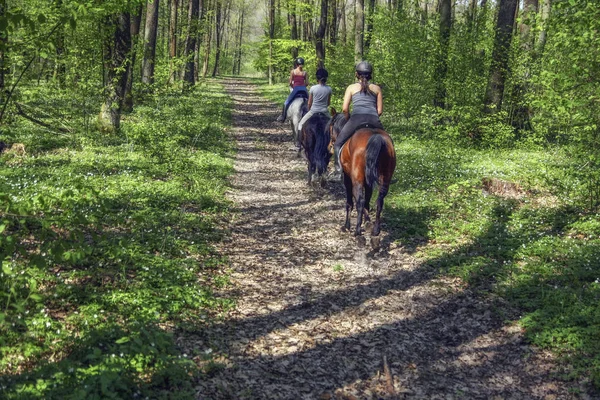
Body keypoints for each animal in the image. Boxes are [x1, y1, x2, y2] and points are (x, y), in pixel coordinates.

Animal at [326, 108, 396, 236]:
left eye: (331, 127)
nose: (329, 146)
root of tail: (376, 137)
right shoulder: (369, 181)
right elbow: (367, 200)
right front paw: (367, 222)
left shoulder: (348, 177)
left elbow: (351, 201)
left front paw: (347, 226)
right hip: (385, 177)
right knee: (379, 201)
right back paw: (375, 230)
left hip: (357, 178)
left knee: (359, 200)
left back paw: (357, 231)